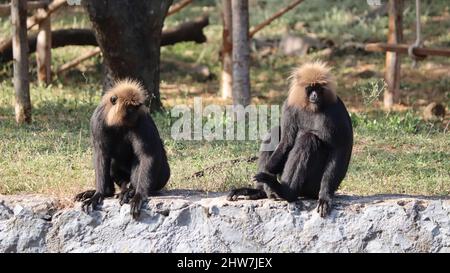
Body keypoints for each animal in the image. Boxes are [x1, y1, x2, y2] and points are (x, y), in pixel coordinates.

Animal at [75, 78, 171, 219]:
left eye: (136, 108)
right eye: (130, 108)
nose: (135, 115)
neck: (118, 122)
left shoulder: (143, 119)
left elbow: (147, 155)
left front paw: (138, 195)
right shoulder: (98, 121)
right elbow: (101, 154)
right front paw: (98, 194)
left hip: (161, 177)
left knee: (139, 159)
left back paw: (130, 191)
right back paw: (109, 191)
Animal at [229, 61, 352, 217]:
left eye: (318, 88)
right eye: (310, 88)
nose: (314, 94)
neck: (312, 107)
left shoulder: (336, 108)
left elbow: (340, 148)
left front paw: (325, 196)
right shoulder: (289, 105)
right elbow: (286, 140)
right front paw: (267, 171)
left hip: (312, 186)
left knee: (308, 138)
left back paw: (286, 192)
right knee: (276, 131)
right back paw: (261, 191)